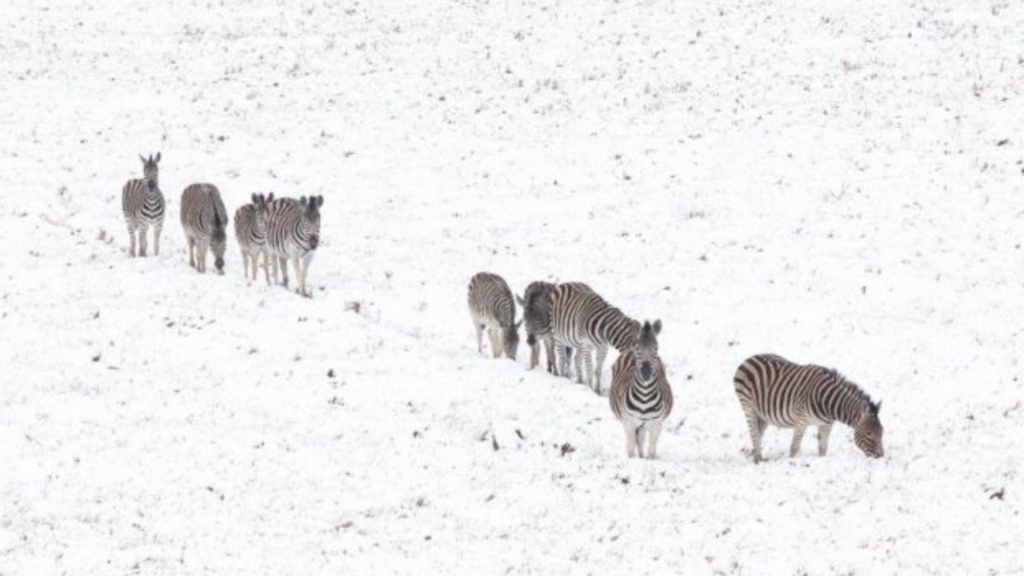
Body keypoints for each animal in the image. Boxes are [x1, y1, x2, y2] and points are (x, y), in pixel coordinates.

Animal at [606, 317, 671, 457]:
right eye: (638, 349)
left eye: (656, 348)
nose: (646, 373)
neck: (644, 398)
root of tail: (628, 349)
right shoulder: (628, 423)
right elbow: (631, 449)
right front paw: (633, 458)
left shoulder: (656, 425)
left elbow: (651, 452)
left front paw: (646, 459)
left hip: (643, 425)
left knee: (641, 440)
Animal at [733, 352, 884, 463]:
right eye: (869, 433)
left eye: (882, 432)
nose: (881, 456)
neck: (829, 405)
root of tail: (750, 358)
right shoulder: (801, 421)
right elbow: (794, 448)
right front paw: (791, 462)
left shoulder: (826, 425)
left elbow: (823, 448)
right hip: (748, 407)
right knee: (754, 434)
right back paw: (758, 460)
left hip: (762, 414)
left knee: (758, 434)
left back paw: (756, 456)